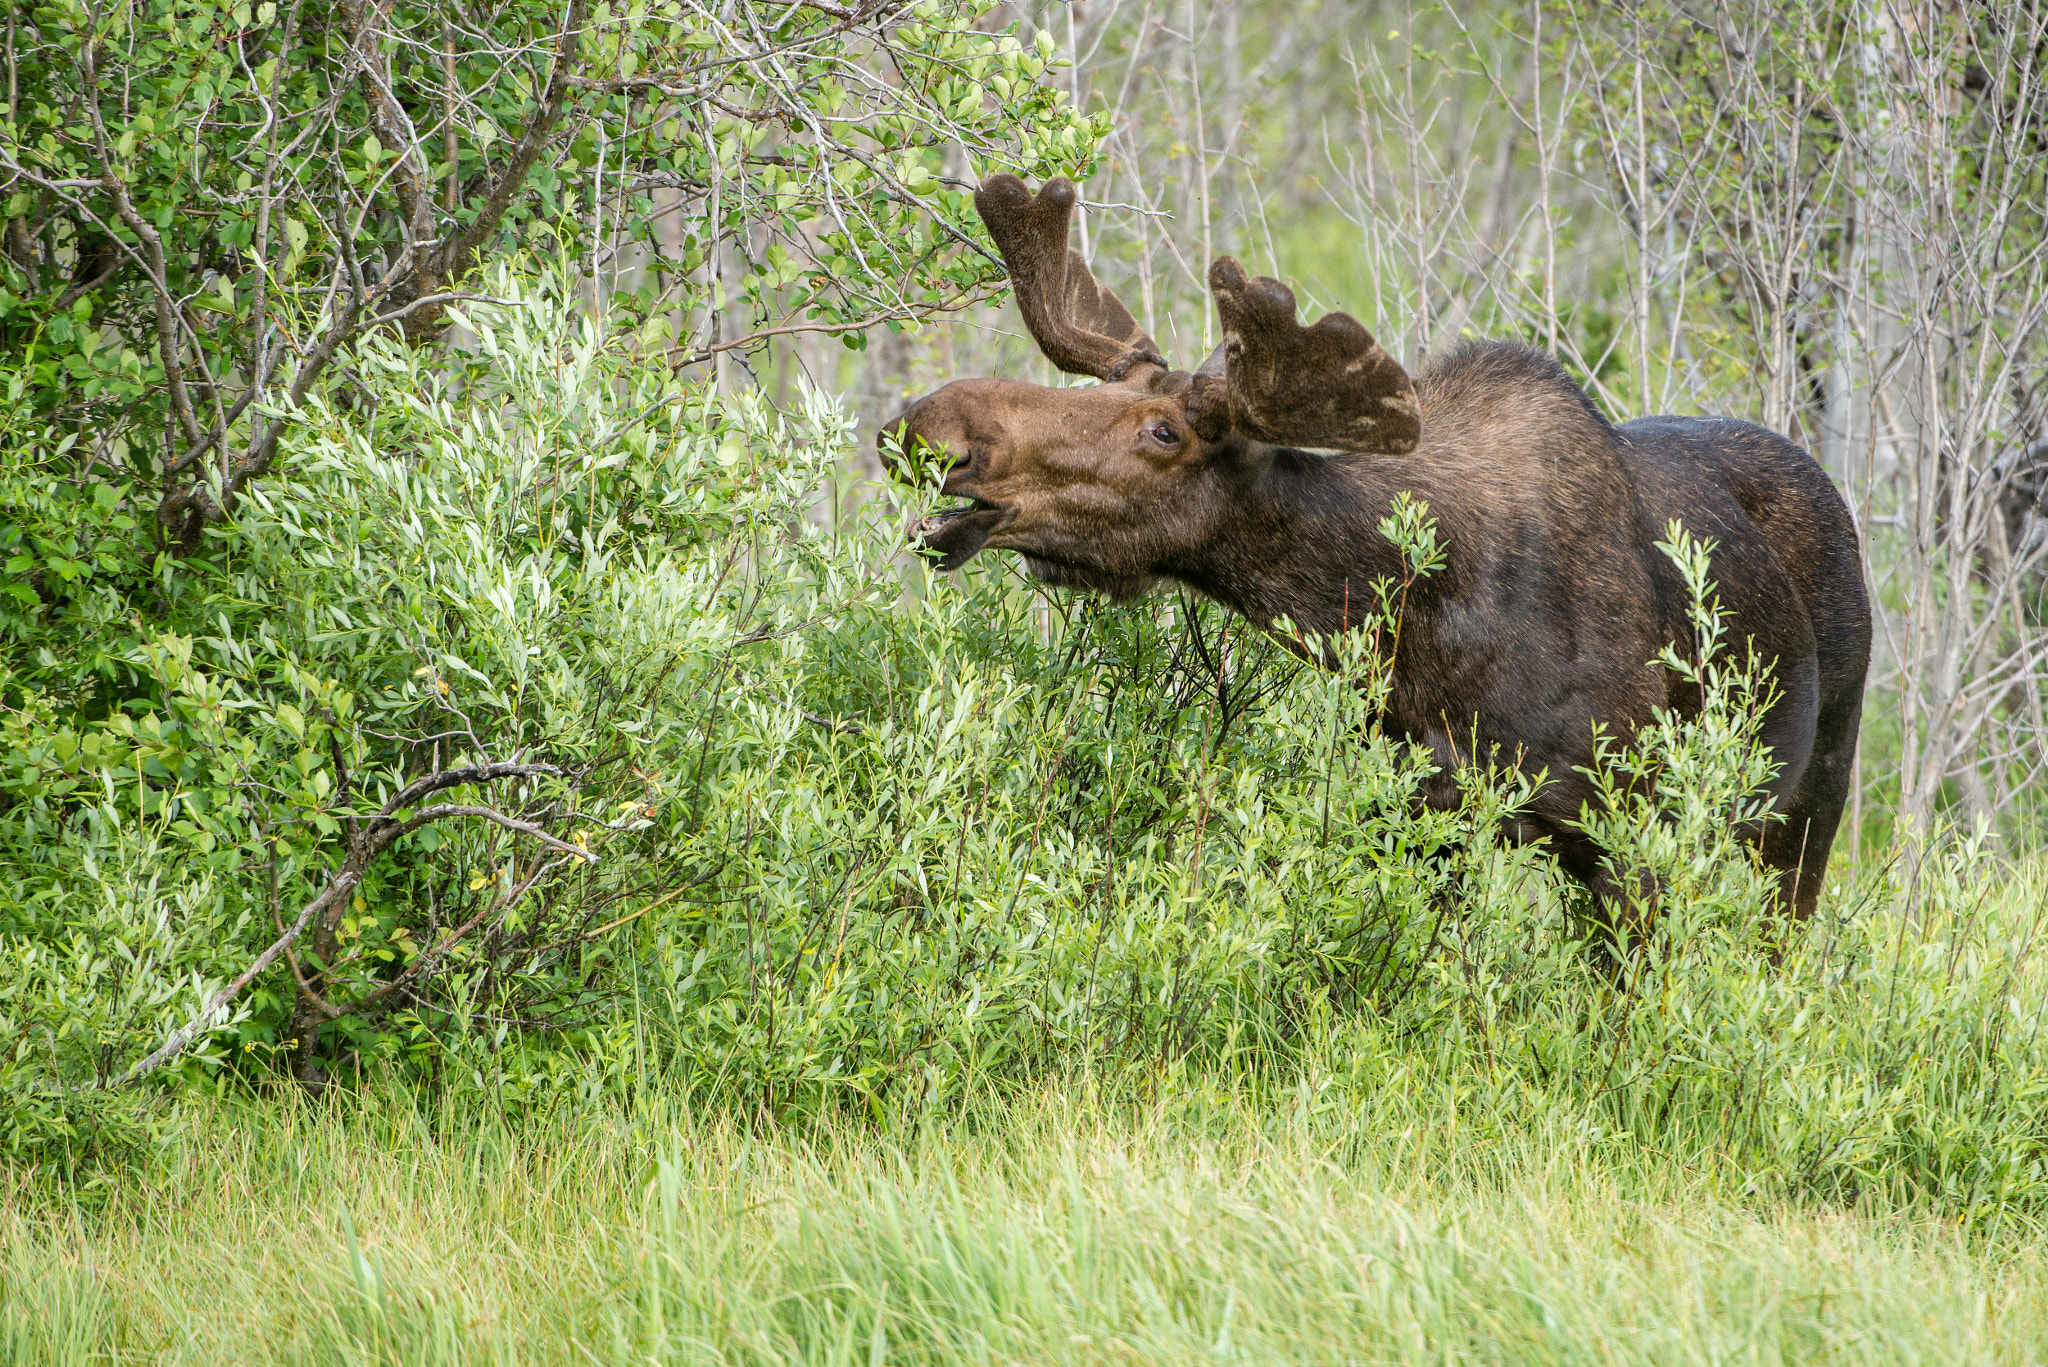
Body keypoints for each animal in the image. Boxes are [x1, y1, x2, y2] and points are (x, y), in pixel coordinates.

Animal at [881, 175, 1871, 928]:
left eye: (1164, 432)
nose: (931, 427)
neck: (1418, 643)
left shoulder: (1630, 835)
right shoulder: (1419, 813)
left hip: (1809, 802)